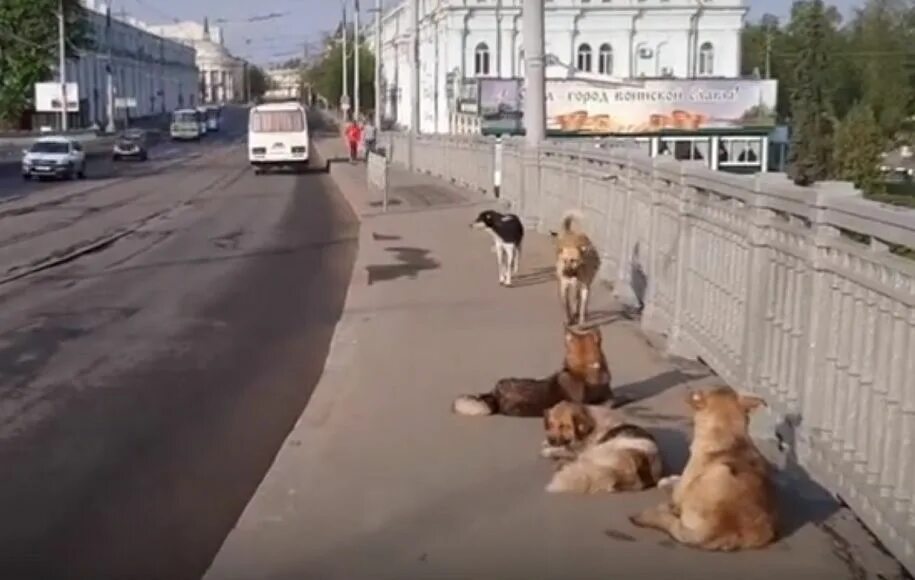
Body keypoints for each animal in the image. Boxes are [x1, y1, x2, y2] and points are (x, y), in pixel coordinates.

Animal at [628, 388, 780, 552]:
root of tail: (716, 531)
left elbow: (676, 485)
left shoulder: (682, 488)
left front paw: (668, 481)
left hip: (719, 472)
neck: (730, 437)